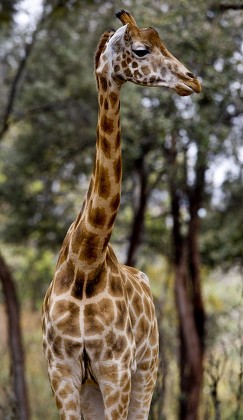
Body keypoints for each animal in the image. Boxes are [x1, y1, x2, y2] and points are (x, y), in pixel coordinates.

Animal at [41, 9, 201, 420]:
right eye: (142, 50)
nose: (192, 80)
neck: (85, 262)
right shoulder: (62, 374)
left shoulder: (116, 371)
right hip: (94, 388)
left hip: (147, 369)